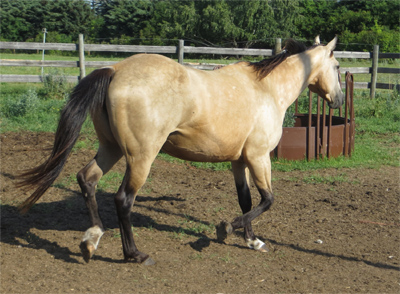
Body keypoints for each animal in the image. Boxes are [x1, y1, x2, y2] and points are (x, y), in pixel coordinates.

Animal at [18, 35, 344, 266]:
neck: (267, 90)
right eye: (339, 67)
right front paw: (226, 229)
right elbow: (267, 200)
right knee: (123, 199)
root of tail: (116, 70)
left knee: (87, 179)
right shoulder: (258, 156)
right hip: (141, 158)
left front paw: (251, 241)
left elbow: (247, 201)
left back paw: (92, 240)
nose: (339, 100)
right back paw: (135, 254)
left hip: (110, 148)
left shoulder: (239, 161)